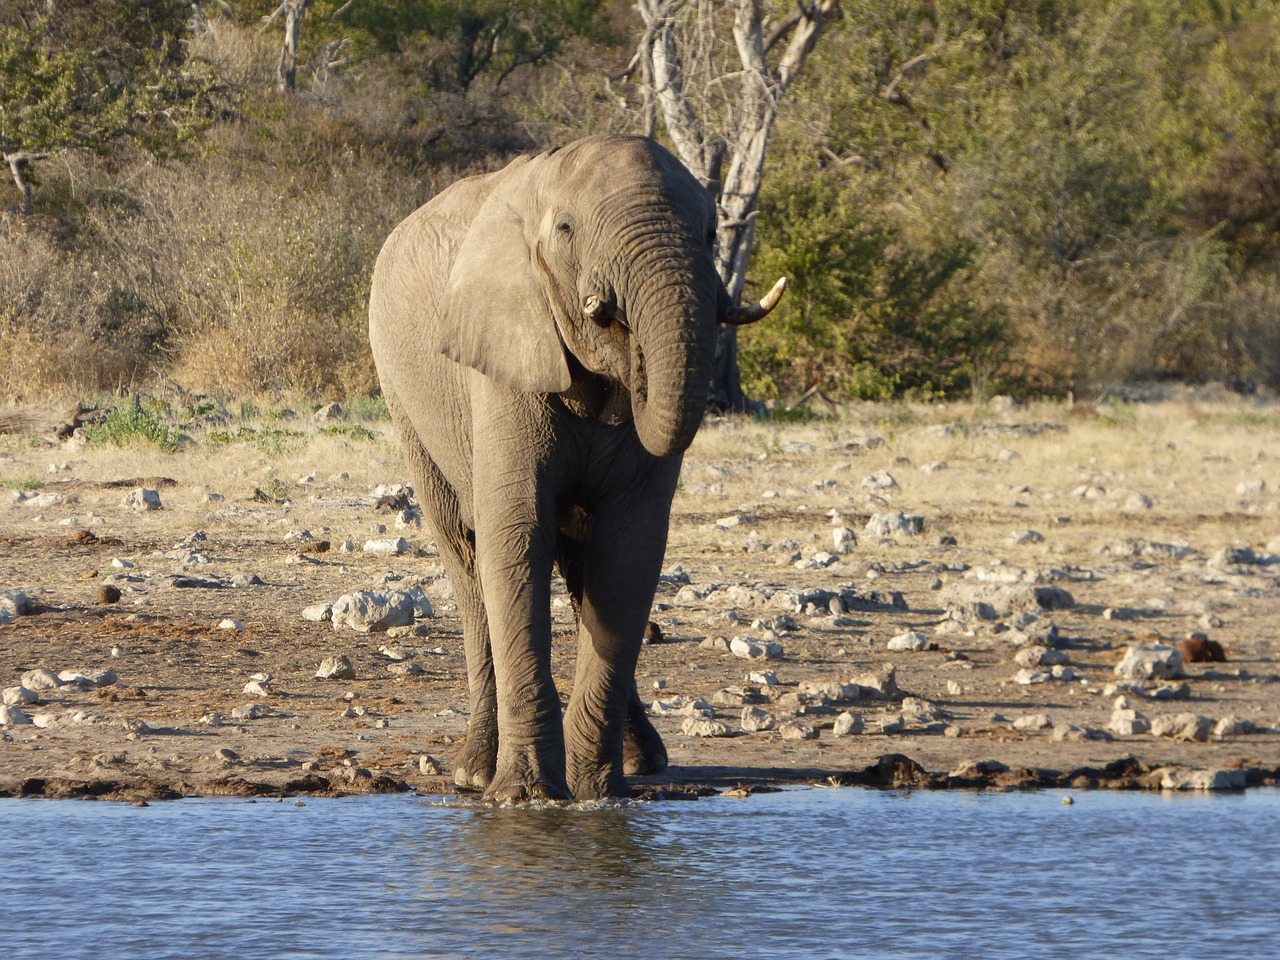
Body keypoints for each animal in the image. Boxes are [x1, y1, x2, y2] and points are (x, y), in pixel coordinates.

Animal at [371, 131, 783, 798]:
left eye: (710, 233)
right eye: (566, 229)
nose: (619, 325)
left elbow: (626, 554)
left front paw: (598, 792)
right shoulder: (502, 357)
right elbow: (516, 537)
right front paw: (526, 796)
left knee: (581, 564)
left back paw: (642, 764)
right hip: (407, 401)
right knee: (467, 556)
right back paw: (472, 772)